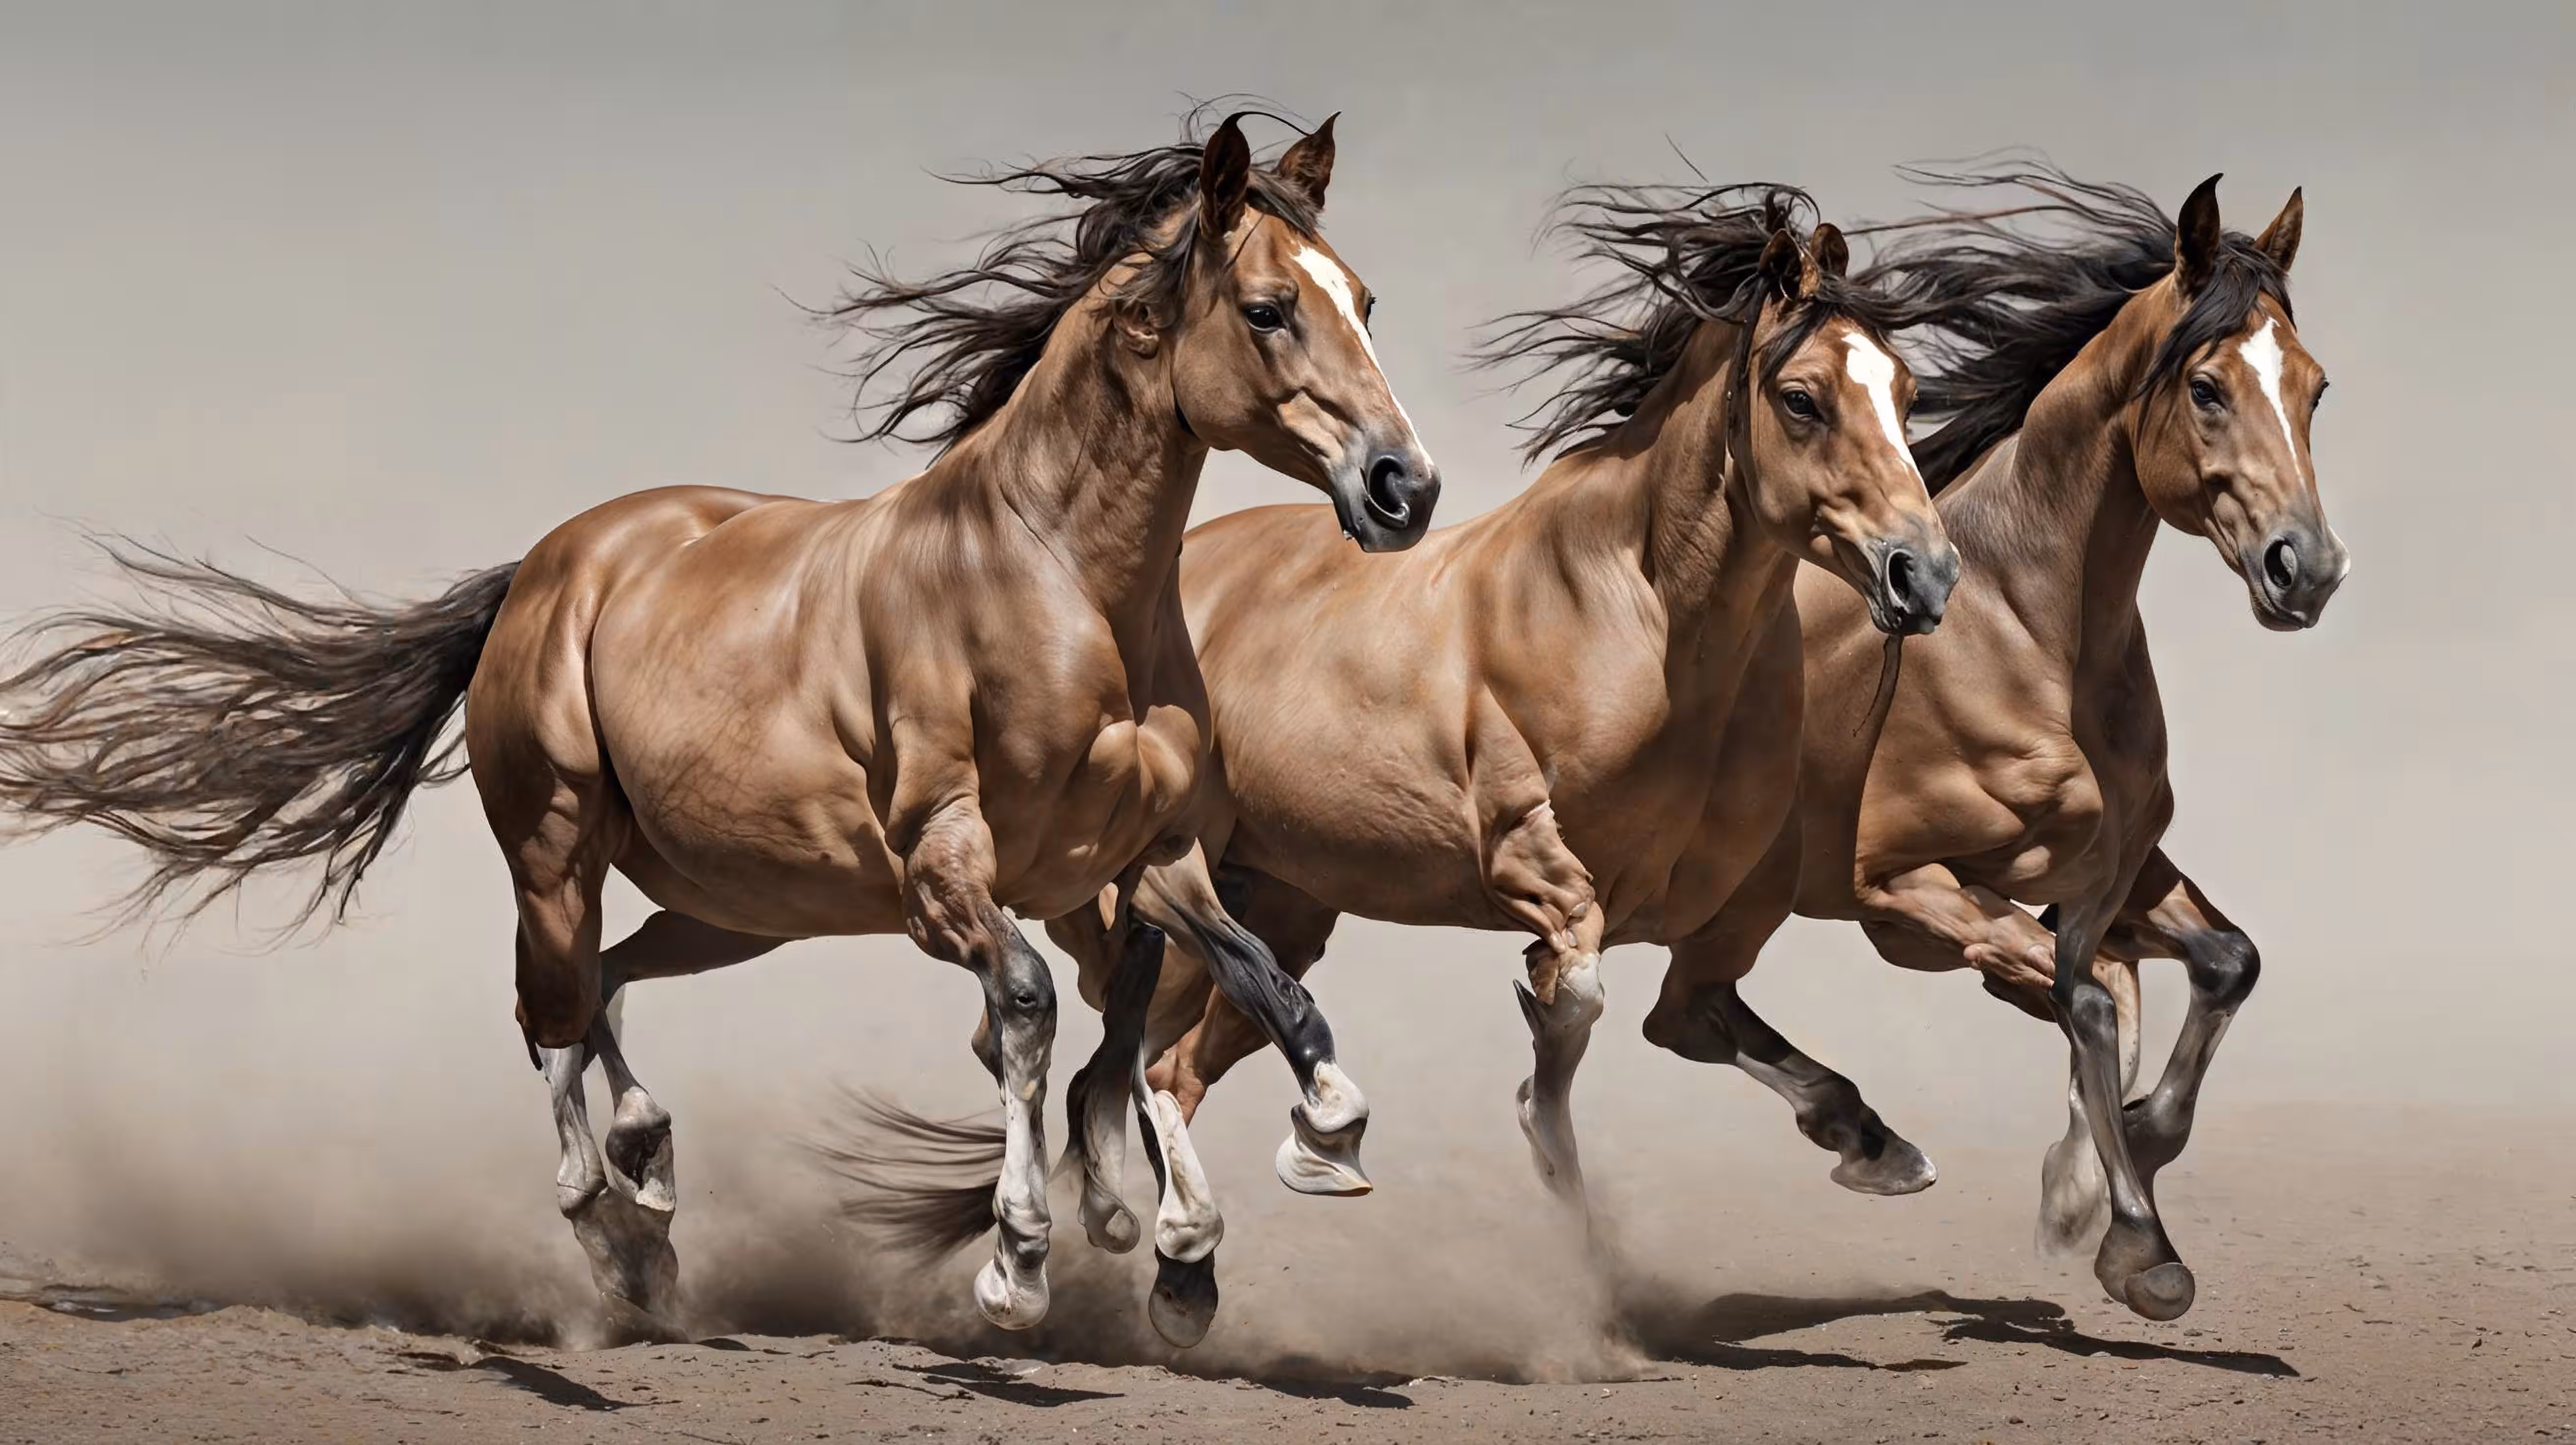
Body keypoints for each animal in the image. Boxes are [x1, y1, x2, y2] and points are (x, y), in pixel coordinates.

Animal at [0, 109, 1439, 1338]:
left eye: (1365, 302)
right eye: (1266, 310)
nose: (1402, 488)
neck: (1059, 584)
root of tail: (547, 567)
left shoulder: (1153, 862)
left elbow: (1251, 991)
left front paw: (1283, 1168)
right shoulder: (946, 871)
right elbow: (1032, 1014)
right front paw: (1020, 1263)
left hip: (737, 904)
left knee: (605, 987)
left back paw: (650, 1167)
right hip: (561, 855)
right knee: (549, 1013)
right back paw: (619, 1237)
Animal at [843, 180, 1964, 1340]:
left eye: (1907, 389)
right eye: (1801, 398)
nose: (1922, 574)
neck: (1649, 622)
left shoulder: (1722, 921)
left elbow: (1684, 1020)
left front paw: (1880, 1148)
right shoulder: (1528, 863)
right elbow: (1571, 1004)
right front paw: (1542, 1184)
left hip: (1279, 905)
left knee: (1160, 1064)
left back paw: (1185, 1265)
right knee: (1129, 1060)